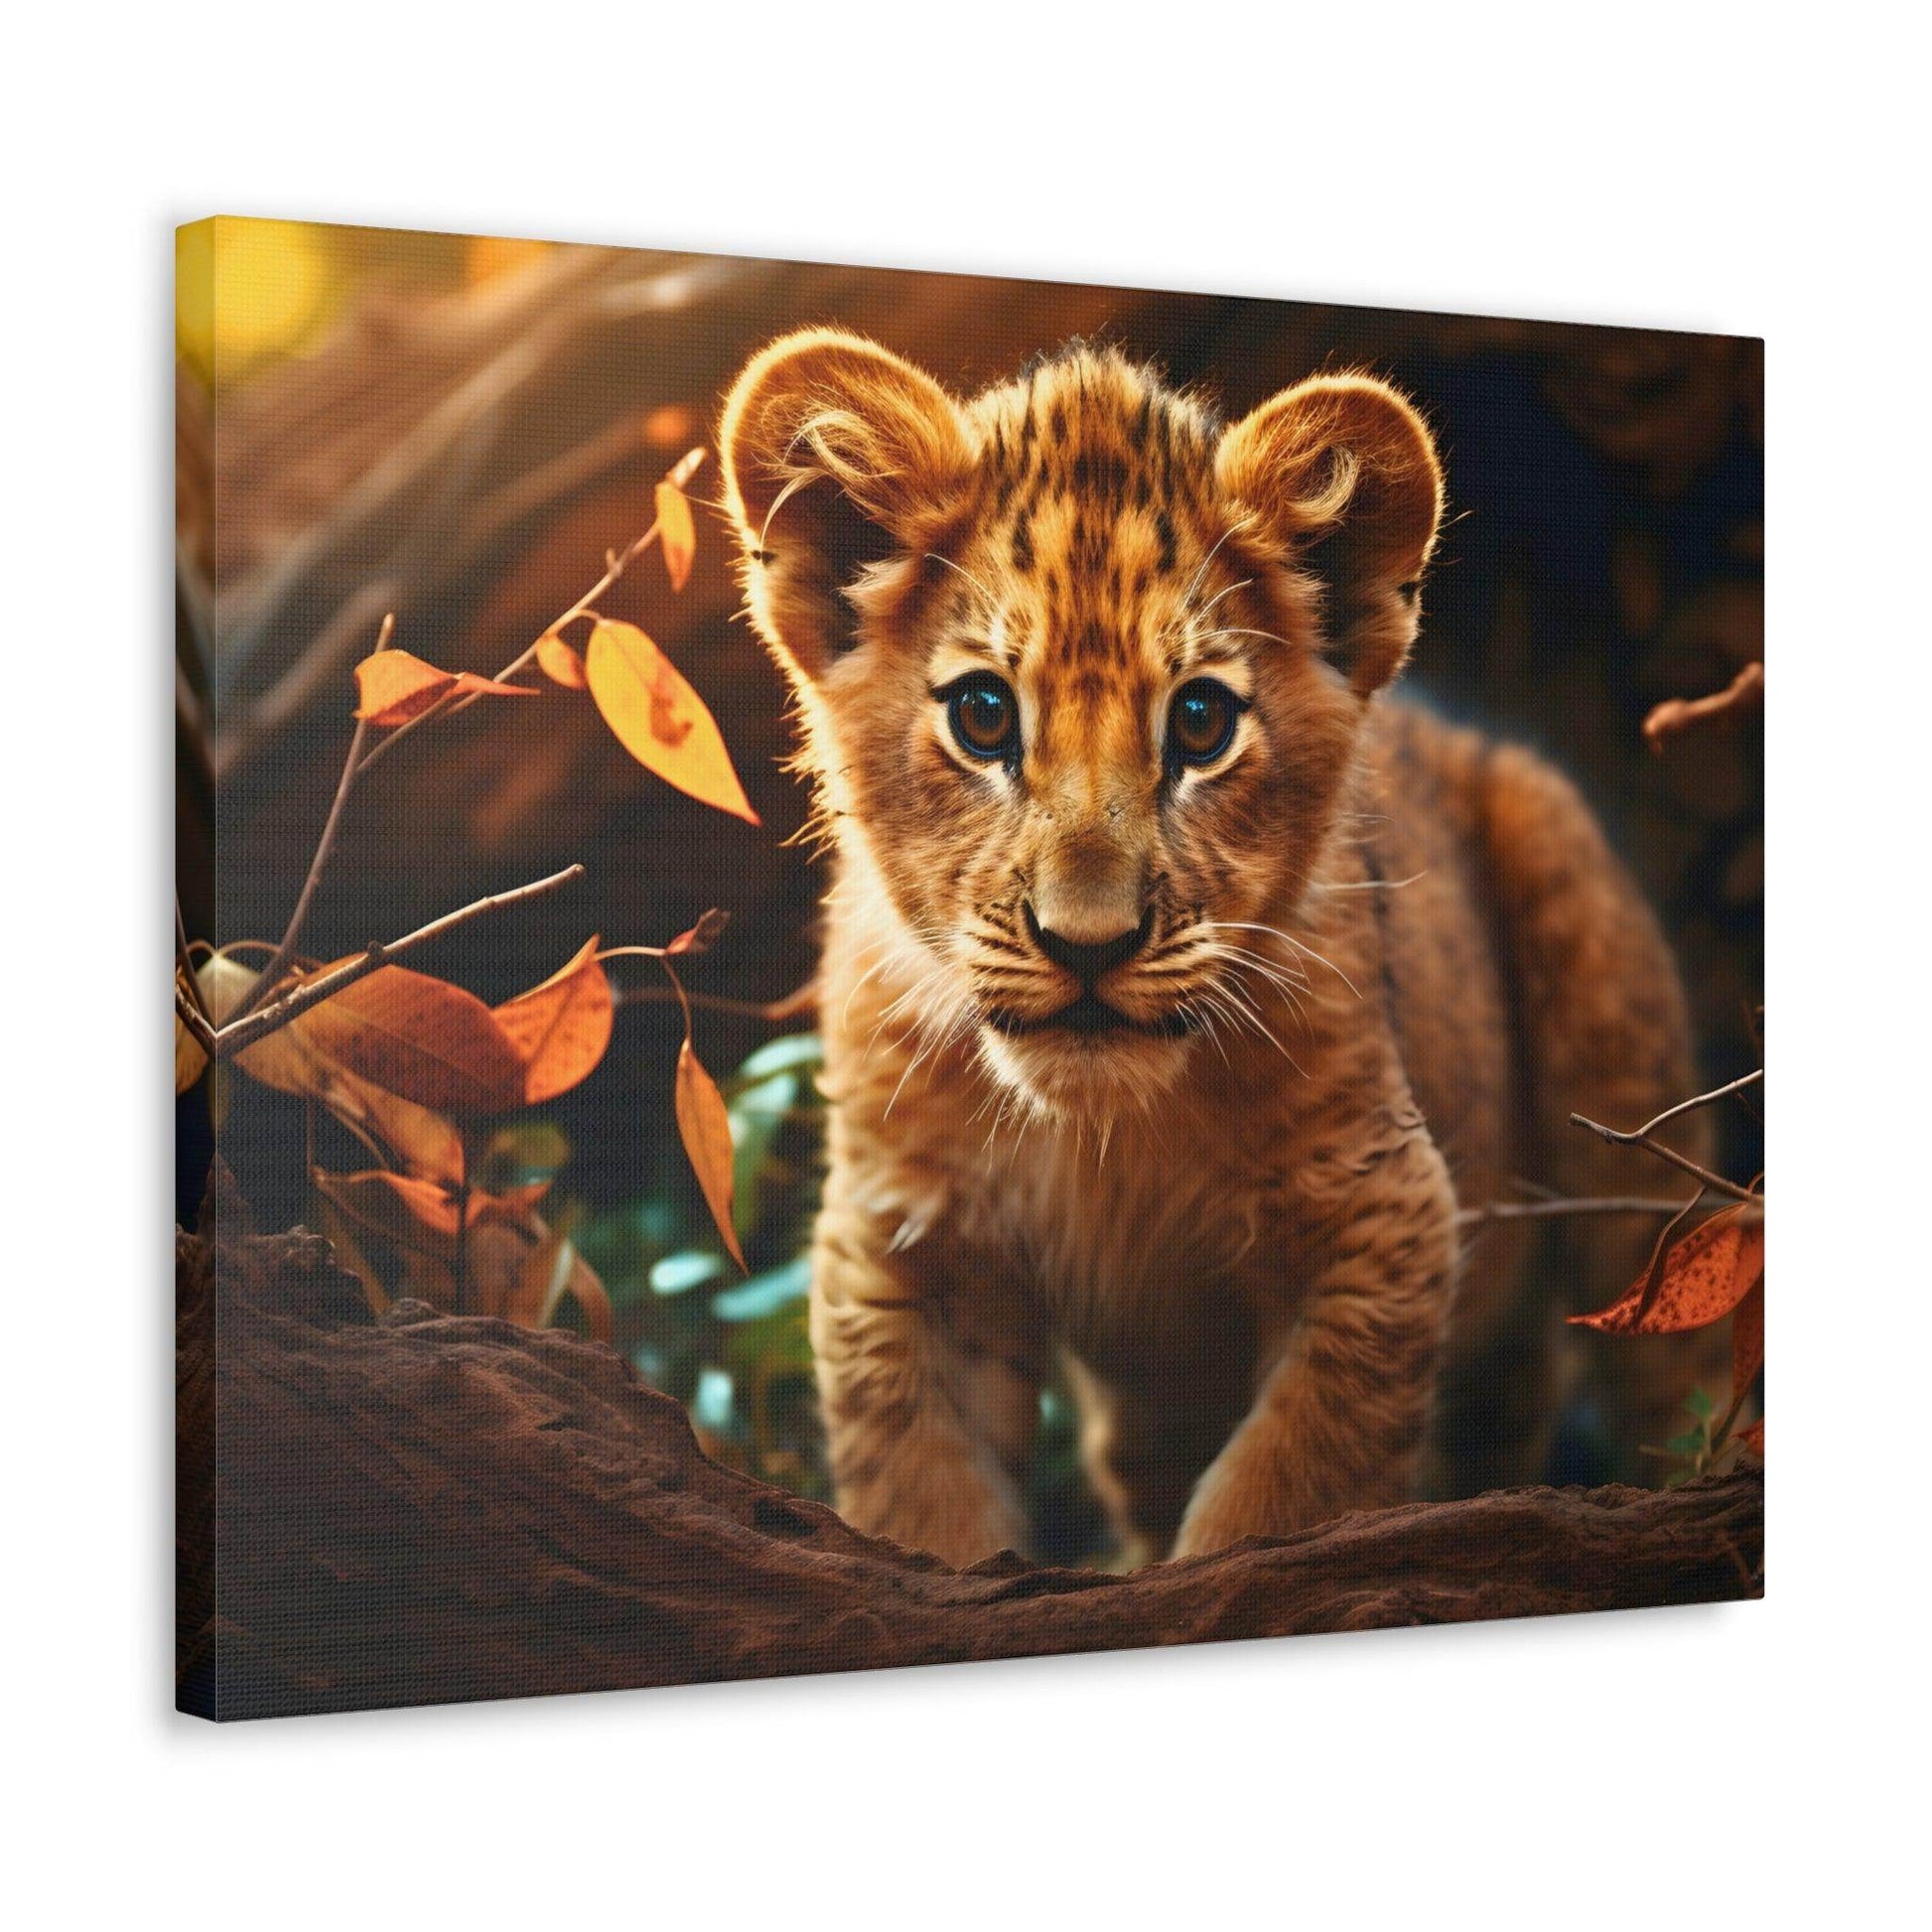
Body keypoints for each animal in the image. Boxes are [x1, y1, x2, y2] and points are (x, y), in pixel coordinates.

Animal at [718, 329, 1710, 1568]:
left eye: (1198, 723)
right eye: (984, 716)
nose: (1086, 944)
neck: (1102, 1137)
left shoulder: (1381, 1212)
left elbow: (1281, 1489)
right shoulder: (902, 1245)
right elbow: (925, 1501)